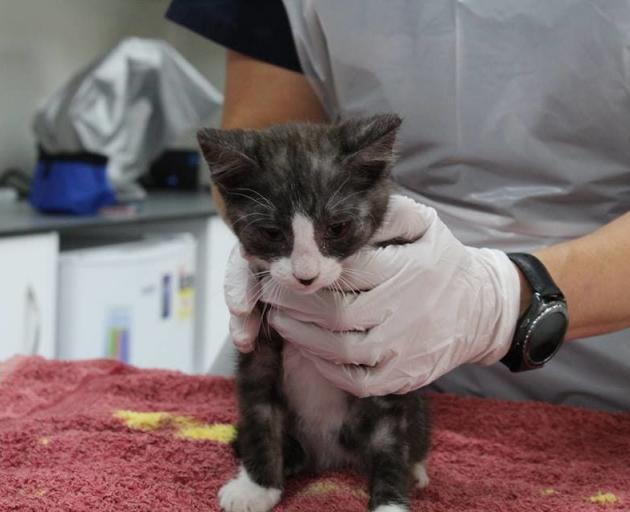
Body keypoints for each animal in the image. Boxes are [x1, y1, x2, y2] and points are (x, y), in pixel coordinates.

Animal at [200, 113, 432, 512]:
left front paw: (390, 500)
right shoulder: (259, 341)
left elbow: (390, 435)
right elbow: (259, 412)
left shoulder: (384, 362)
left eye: (337, 228)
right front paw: (257, 487)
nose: (304, 275)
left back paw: (414, 469)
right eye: (272, 232)